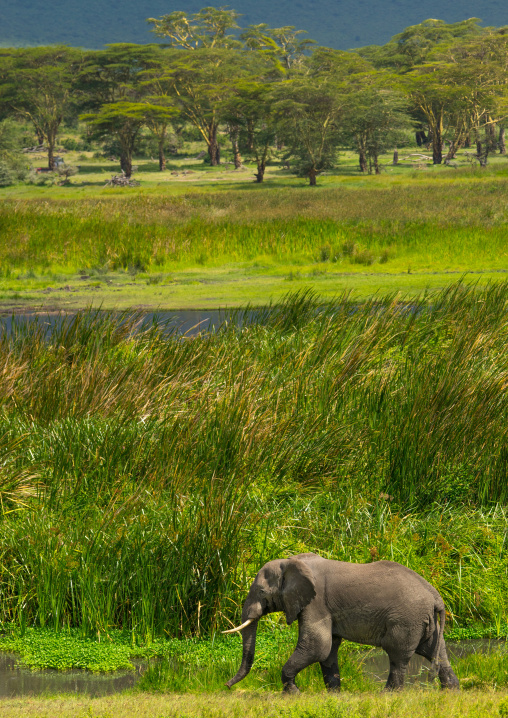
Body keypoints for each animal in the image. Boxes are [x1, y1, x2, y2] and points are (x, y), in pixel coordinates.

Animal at [223, 552, 459, 693]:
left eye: (261, 592)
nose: (226, 686)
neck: (292, 561)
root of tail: (436, 596)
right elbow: (328, 650)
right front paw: (334, 694)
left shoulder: (316, 603)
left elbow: (317, 646)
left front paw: (292, 693)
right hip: (423, 620)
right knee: (436, 651)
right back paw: (451, 691)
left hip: (406, 620)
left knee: (397, 656)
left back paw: (387, 694)